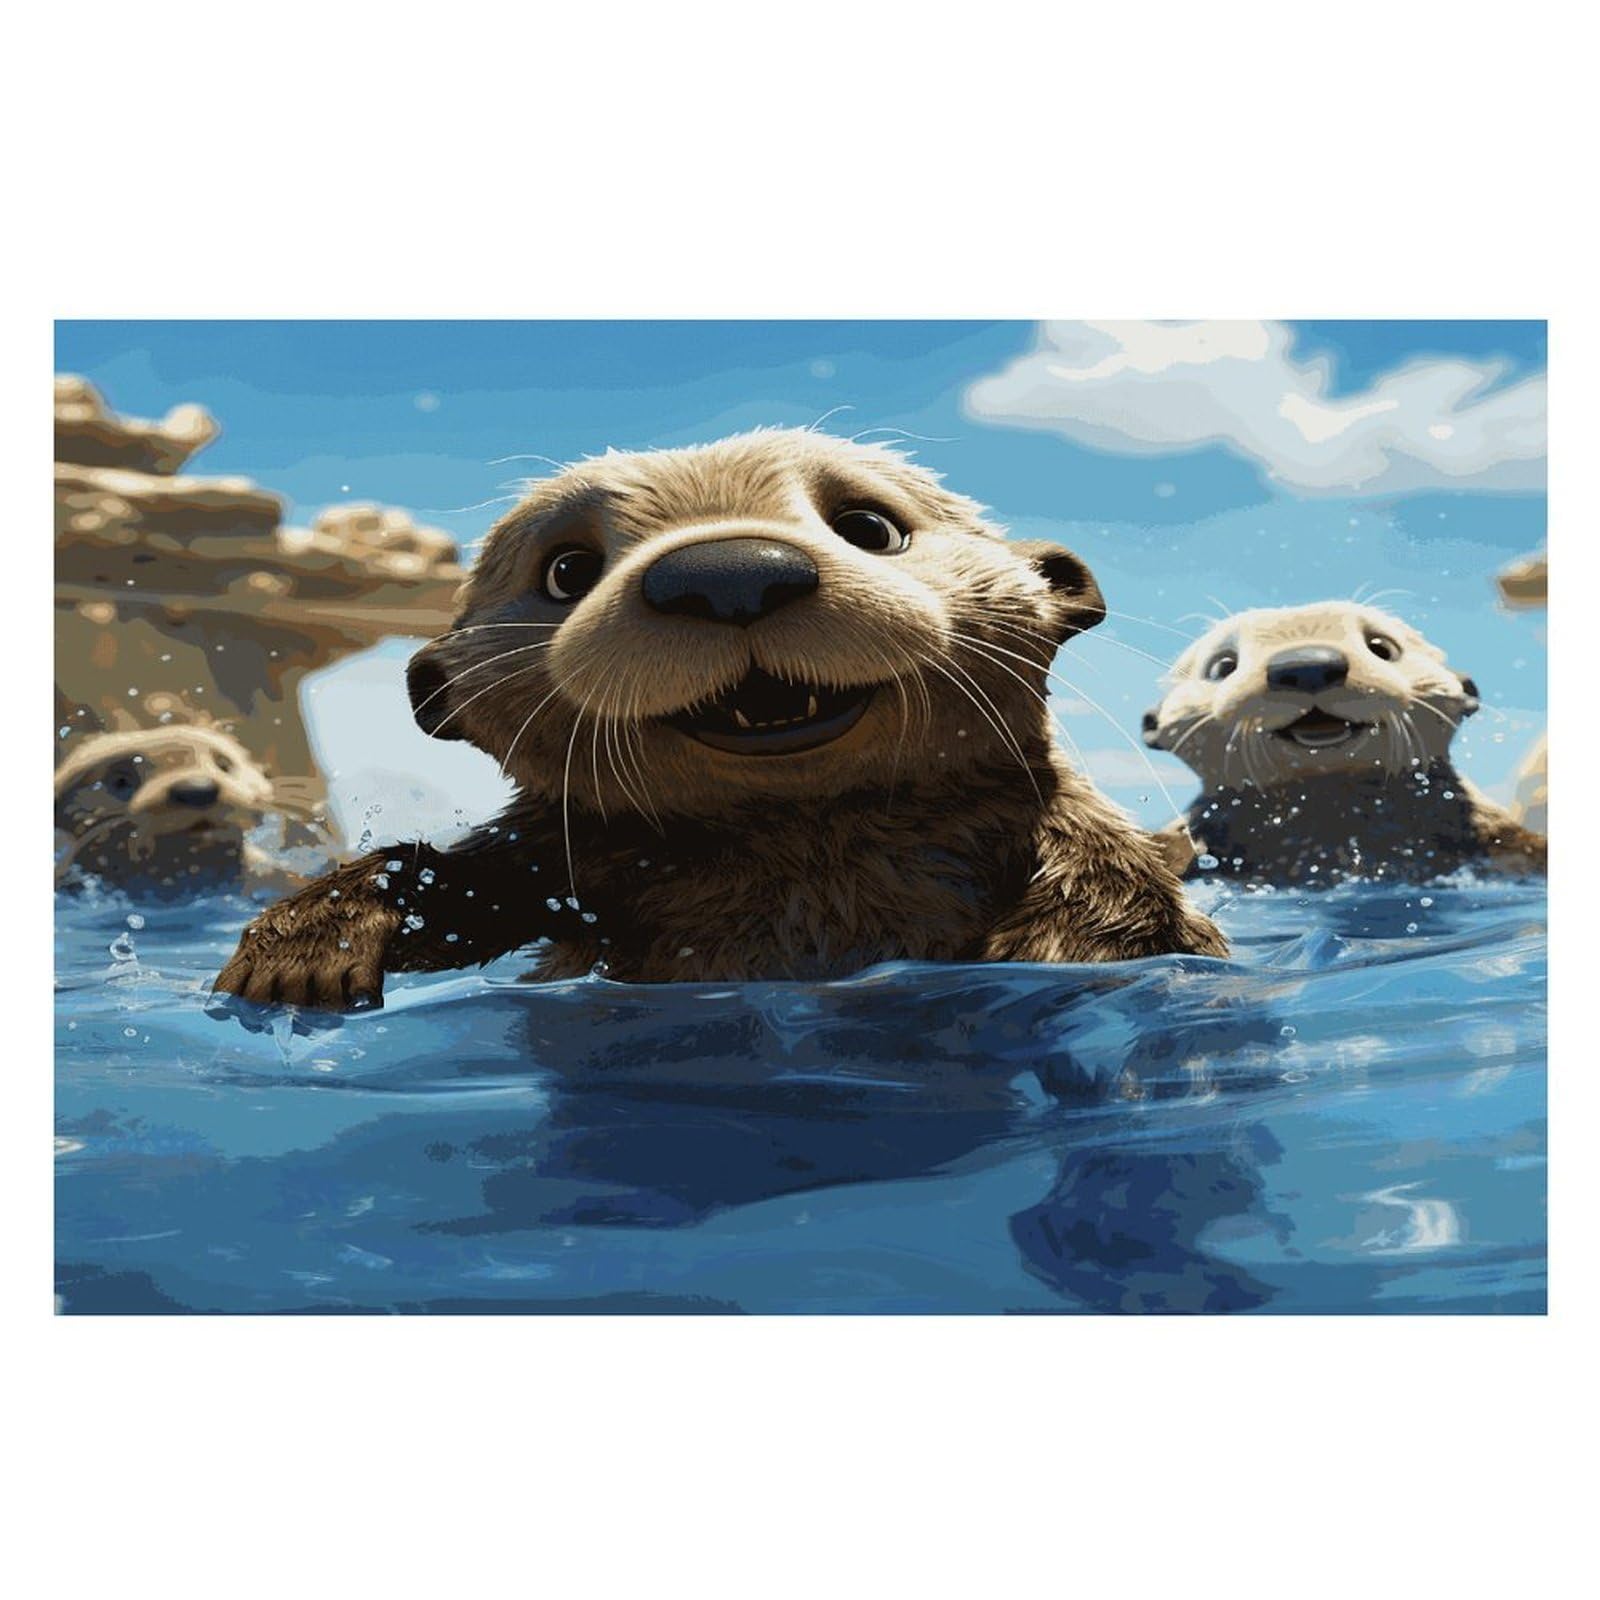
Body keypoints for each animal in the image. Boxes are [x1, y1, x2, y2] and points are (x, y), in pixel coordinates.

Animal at [212, 428, 1225, 1008]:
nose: (730, 572)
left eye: (871, 527)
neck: (809, 856)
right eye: (566, 570)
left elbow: (1119, 911)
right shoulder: (555, 859)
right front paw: (304, 950)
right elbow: (449, 884)